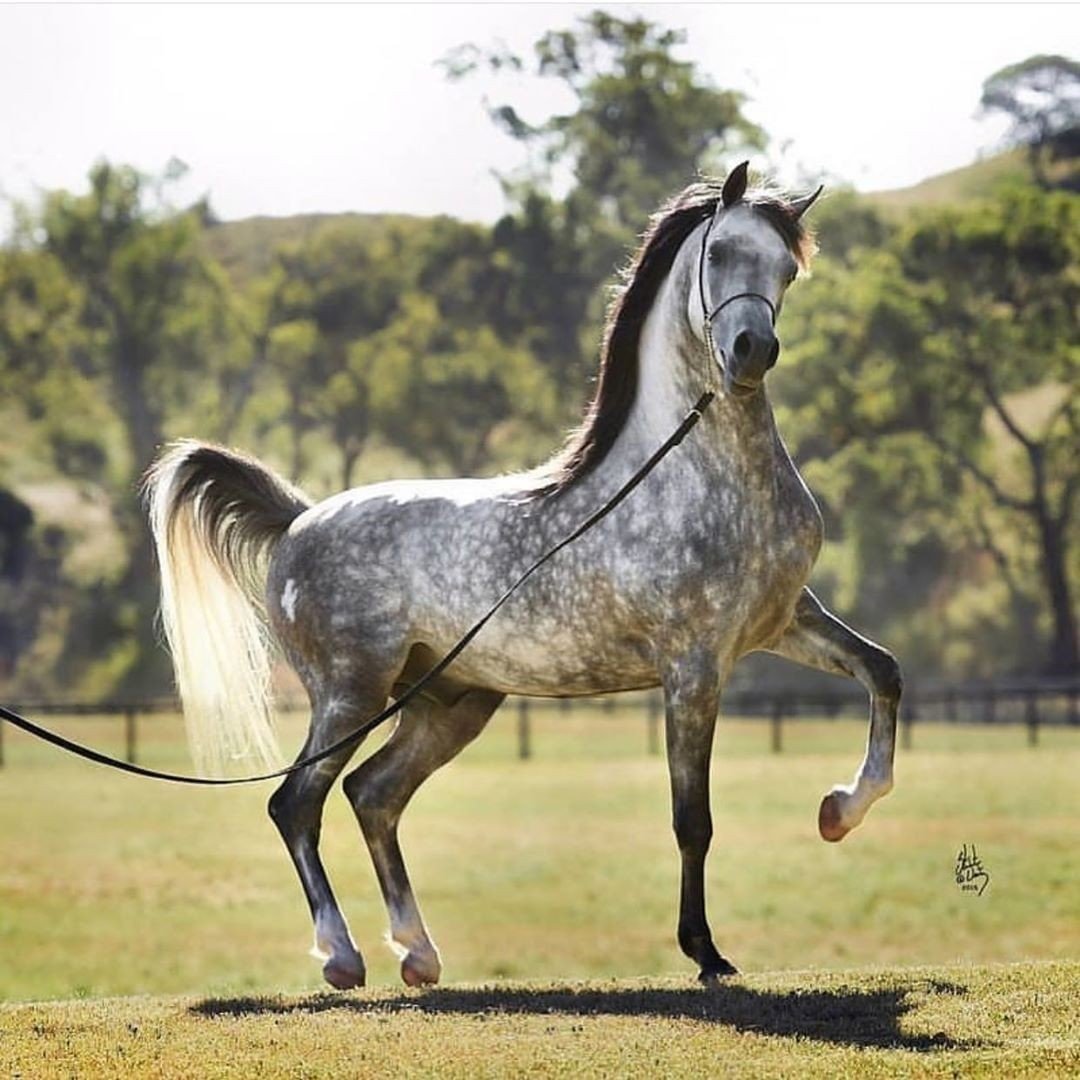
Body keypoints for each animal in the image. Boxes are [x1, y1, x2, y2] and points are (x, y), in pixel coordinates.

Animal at [145, 159, 902, 989]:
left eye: (787, 269)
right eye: (723, 251)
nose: (751, 351)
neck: (699, 481)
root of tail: (299, 521)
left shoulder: (783, 622)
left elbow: (883, 672)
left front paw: (840, 810)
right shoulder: (694, 666)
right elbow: (691, 819)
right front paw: (706, 953)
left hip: (450, 705)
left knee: (371, 795)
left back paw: (418, 954)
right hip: (350, 695)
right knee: (295, 804)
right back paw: (343, 957)